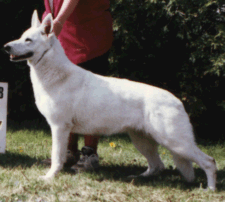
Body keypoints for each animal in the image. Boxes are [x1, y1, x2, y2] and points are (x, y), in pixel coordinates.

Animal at [4, 10, 216, 191]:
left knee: (209, 162)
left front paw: (49, 177)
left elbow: (57, 157)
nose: (6, 47)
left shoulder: (59, 128)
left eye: (28, 40)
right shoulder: (64, 129)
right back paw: (139, 178)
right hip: (142, 141)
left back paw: (210, 189)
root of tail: (177, 101)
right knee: (158, 165)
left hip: (175, 142)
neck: (55, 75)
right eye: (21, 37)